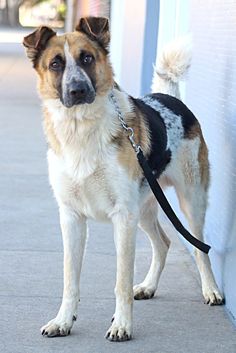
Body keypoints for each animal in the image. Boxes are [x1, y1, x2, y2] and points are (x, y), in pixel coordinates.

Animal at [23, 17, 224, 340]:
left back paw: (211, 289)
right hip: (144, 207)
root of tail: (169, 97)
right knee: (163, 243)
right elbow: (70, 279)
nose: (77, 90)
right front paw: (63, 321)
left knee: (198, 246)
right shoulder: (71, 217)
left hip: (189, 200)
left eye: (87, 58)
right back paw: (149, 286)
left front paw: (122, 325)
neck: (80, 129)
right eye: (55, 64)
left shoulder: (122, 217)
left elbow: (121, 281)